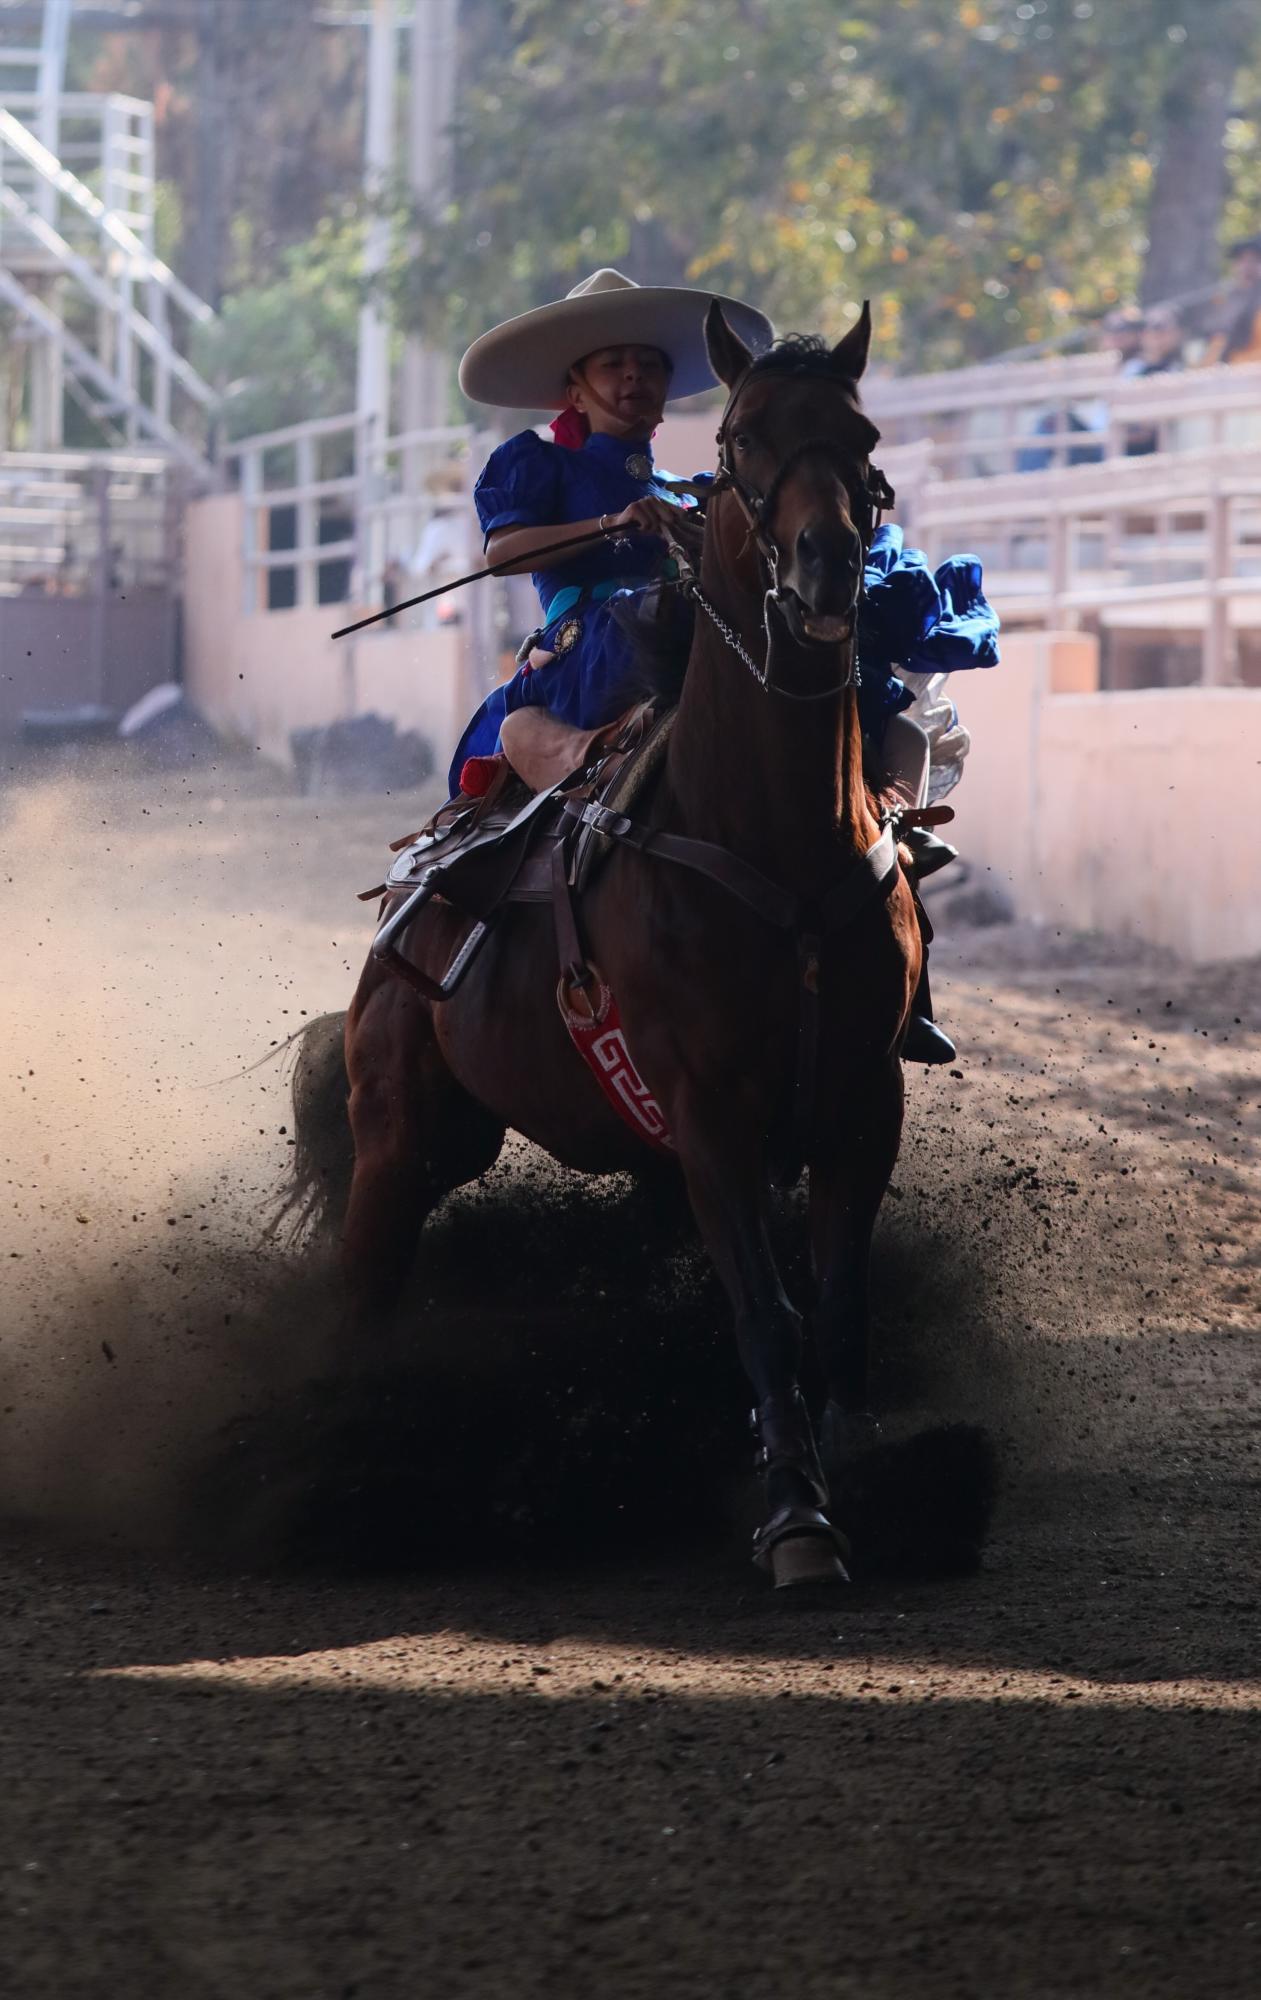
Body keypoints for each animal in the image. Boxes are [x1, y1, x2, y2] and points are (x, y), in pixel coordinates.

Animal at [340, 304, 924, 1584]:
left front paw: (844, 1463)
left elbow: (835, 1302)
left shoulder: (862, 1095)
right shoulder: (707, 1104)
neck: (773, 834)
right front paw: (797, 1517)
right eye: (744, 435)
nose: (825, 563)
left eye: (860, 432)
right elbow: (767, 1309)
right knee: (365, 1276)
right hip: (399, 1133)